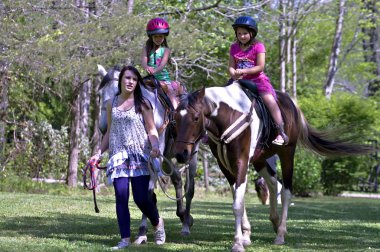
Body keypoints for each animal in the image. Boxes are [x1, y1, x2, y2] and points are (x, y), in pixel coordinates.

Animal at [97, 65, 199, 236]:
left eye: (118, 91)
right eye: (99, 94)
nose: (104, 126)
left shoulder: (154, 156)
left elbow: (148, 192)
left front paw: (143, 229)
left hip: (190, 155)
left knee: (189, 188)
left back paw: (185, 224)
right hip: (166, 158)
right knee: (177, 179)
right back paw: (183, 215)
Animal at [173, 81, 372, 251]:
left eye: (196, 118)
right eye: (175, 119)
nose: (181, 154)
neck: (229, 115)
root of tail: (292, 104)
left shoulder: (241, 162)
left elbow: (237, 204)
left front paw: (237, 242)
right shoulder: (225, 166)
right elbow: (239, 199)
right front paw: (245, 236)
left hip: (287, 154)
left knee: (286, 191)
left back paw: (281, 234)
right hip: (260, 159)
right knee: (273, 183)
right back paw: (275, 223)